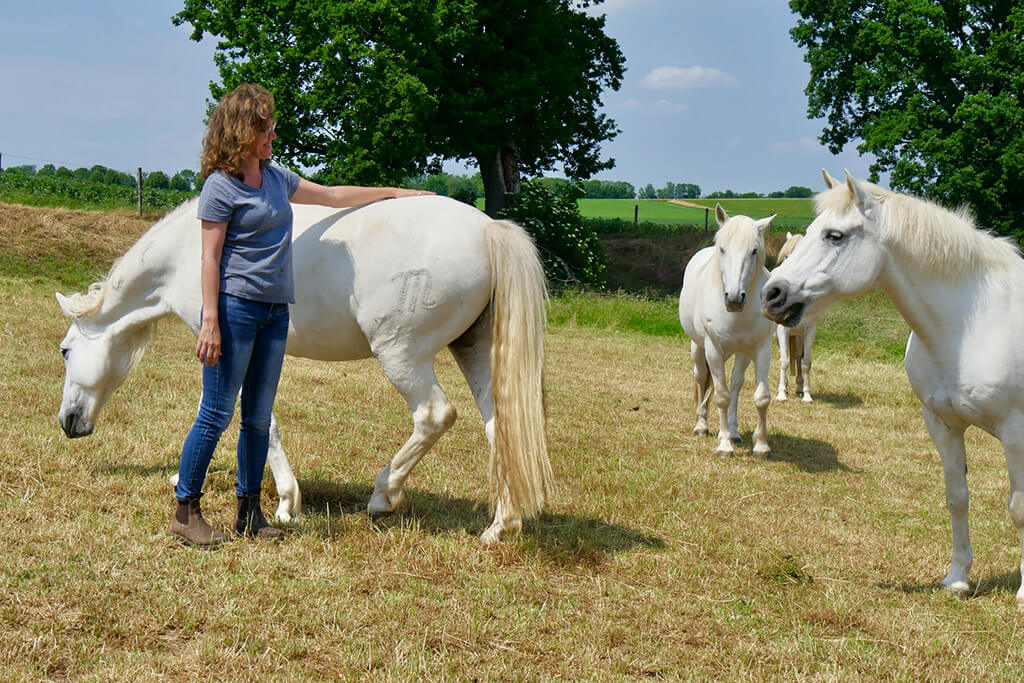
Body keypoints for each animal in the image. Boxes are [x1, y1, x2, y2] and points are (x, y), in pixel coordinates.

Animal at [56, 193, 552, 544]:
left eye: (64, 351)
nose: (67, 422)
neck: (186, 253)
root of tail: (488, 228)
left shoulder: (227, 349)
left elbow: (242, 418)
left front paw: (284, 502)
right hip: (474, 351)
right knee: (501, 428)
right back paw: (499, 527)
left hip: (402, 355)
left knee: (434, 416)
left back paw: (383, 495)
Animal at [679, 202, 774, 458]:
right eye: (722, 249)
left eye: (754, 251)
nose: (734, 299)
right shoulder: (713, 349)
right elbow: (721, 396)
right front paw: (724, 446)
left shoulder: (762, 349)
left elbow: (761, 397)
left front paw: (761, 446)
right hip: (698, 348)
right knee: (701, 378)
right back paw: (702, 426)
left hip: (742, 354)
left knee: (735, 384)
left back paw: (733, 431)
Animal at [774, 232, 823, 403]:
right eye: (786, 257)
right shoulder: (782, 330)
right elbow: (784, 362)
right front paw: (781, 394)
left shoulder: (809, 331)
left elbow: (805, 363)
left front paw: (807, 395)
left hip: (798, 335)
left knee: (796, 356)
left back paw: (799, 387)